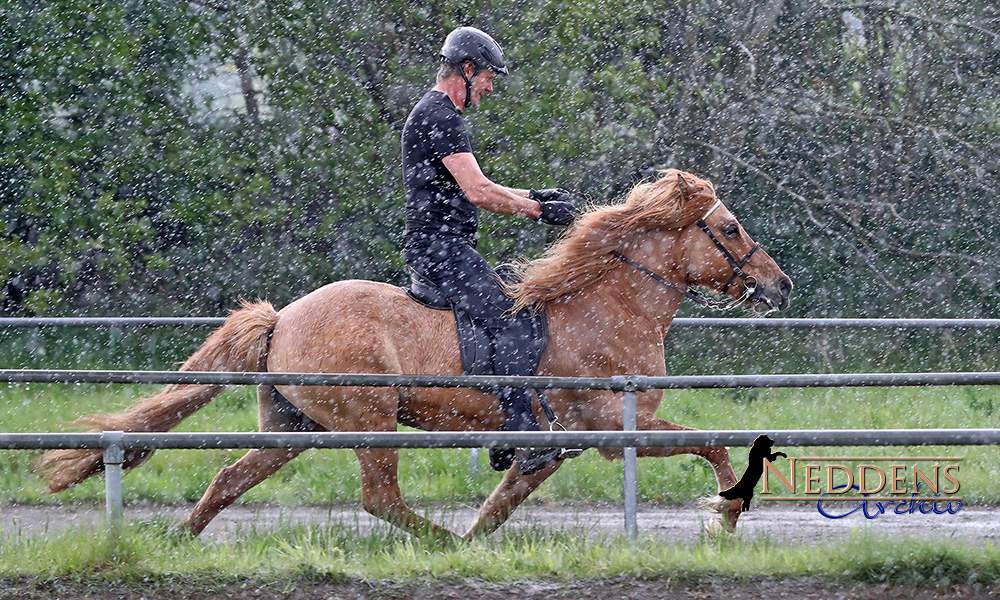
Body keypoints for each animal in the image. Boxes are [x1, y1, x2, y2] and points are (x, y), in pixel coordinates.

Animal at [37, 168, 788, 540]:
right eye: (728, 228)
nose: (781, 285)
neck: (607, 307)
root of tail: (282, 319)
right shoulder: (609, 427)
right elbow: (714, 442)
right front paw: (725, 513)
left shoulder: (560, 445)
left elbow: (501, 504)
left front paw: (478, 549)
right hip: (367, 422)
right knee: (379, 498)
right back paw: (432, 542)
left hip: (294, 427)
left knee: (229, 478)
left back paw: (176, 540)